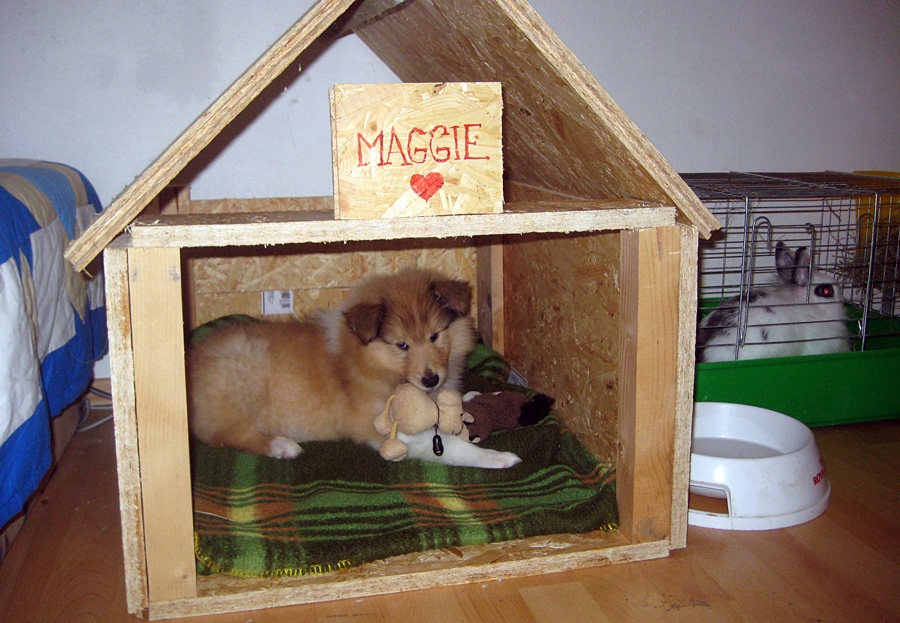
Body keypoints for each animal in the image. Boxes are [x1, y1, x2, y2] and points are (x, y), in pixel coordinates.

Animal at [186, 268, 521, 469]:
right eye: (402, 345)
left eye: (434, 336)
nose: (430, 379)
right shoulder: (386, 430)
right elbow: (451, 445)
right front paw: (498, 457)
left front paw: (473, 399)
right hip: (242, 376)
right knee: (226, 435)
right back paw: (281, 445)